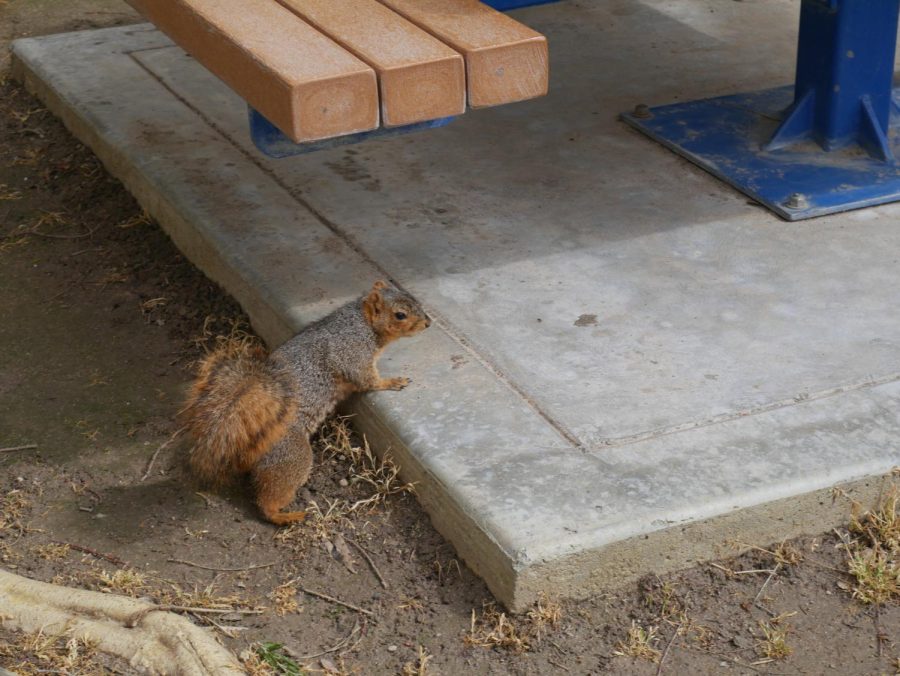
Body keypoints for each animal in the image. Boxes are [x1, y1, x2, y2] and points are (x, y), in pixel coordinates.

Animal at [181, 280, 430, 524]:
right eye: (400, 315)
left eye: (414, 299)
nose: (428, 323)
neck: (362, 322)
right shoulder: (352, 352)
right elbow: (365, 379)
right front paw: (392, 381)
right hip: (291, 456)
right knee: (268, 499)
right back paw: (287, 515)